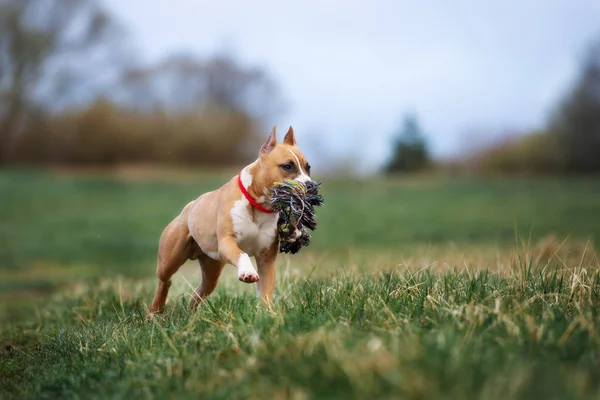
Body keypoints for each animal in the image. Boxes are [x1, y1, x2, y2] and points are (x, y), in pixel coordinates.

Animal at [149, 125, 314, 312]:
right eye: (287, 166)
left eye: (308, 167)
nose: (310, 185)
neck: (257, 205)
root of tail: (189, 207)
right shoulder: (227, 242)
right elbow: (241, 253)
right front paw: (248, 272)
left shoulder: (266, 258)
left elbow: (266, 290)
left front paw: (267, 313)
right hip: (170, 259)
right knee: (165, 281)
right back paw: (156, 310)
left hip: (211, 270)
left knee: (199, 292)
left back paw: (191, 313)